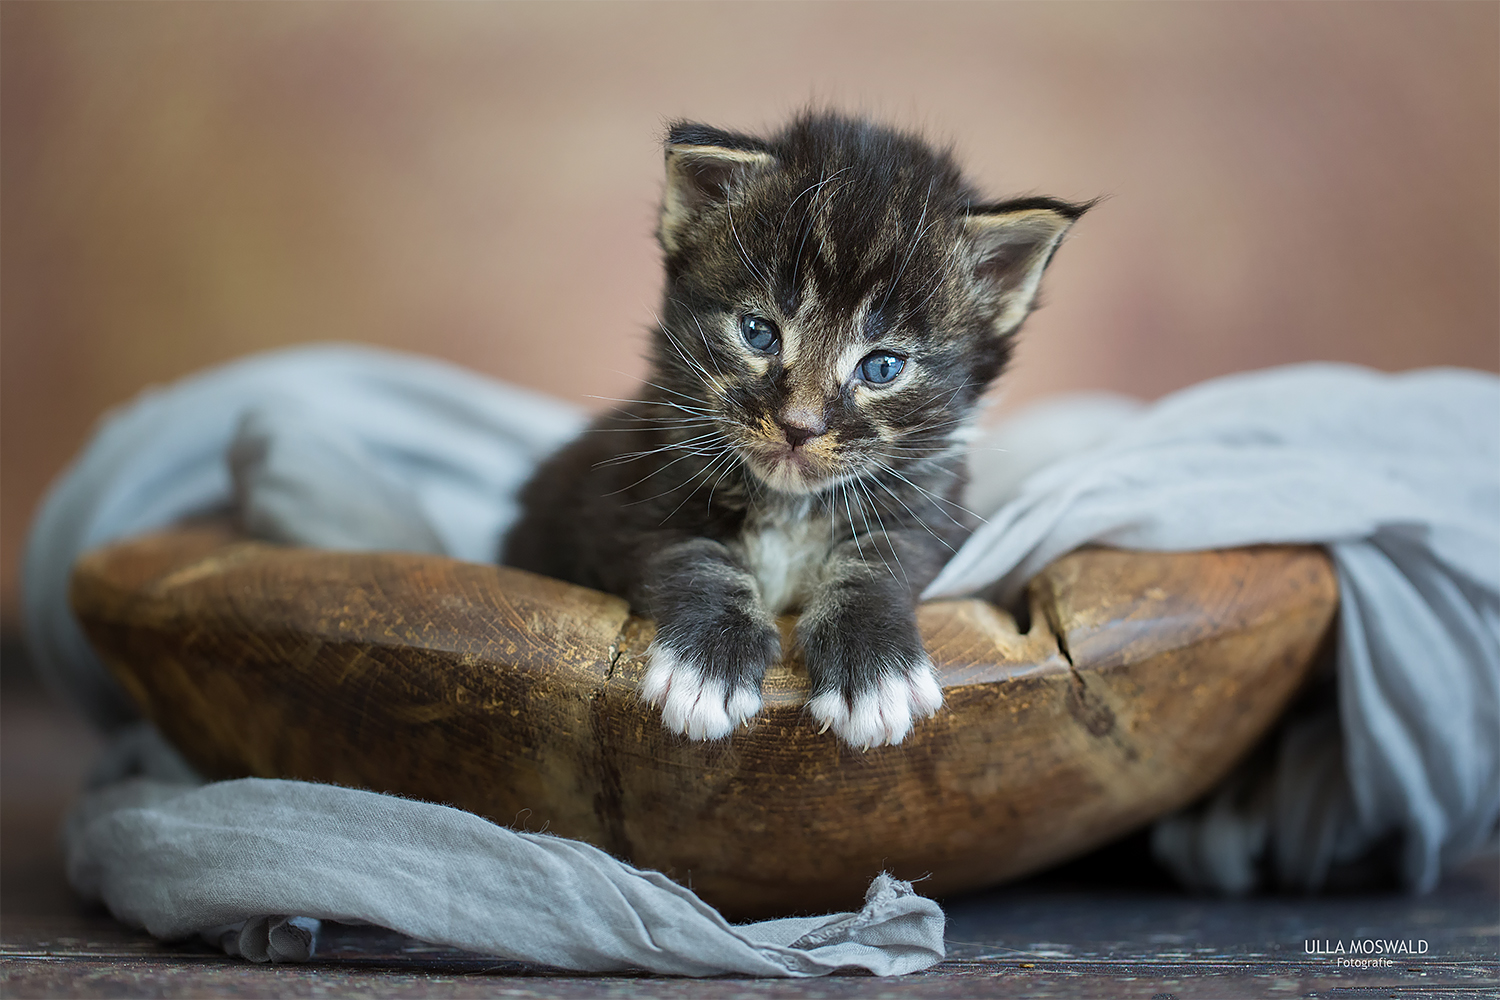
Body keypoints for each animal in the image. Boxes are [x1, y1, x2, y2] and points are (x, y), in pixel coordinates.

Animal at [510, 113, 1086, 746]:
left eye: (882, 367)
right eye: (759, 332)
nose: (798, 427)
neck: (789, 507)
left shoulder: (931, 518)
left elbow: (877, 565)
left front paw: (875, 671)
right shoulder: (626, 501)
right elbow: (695, 556)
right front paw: (706, 665)